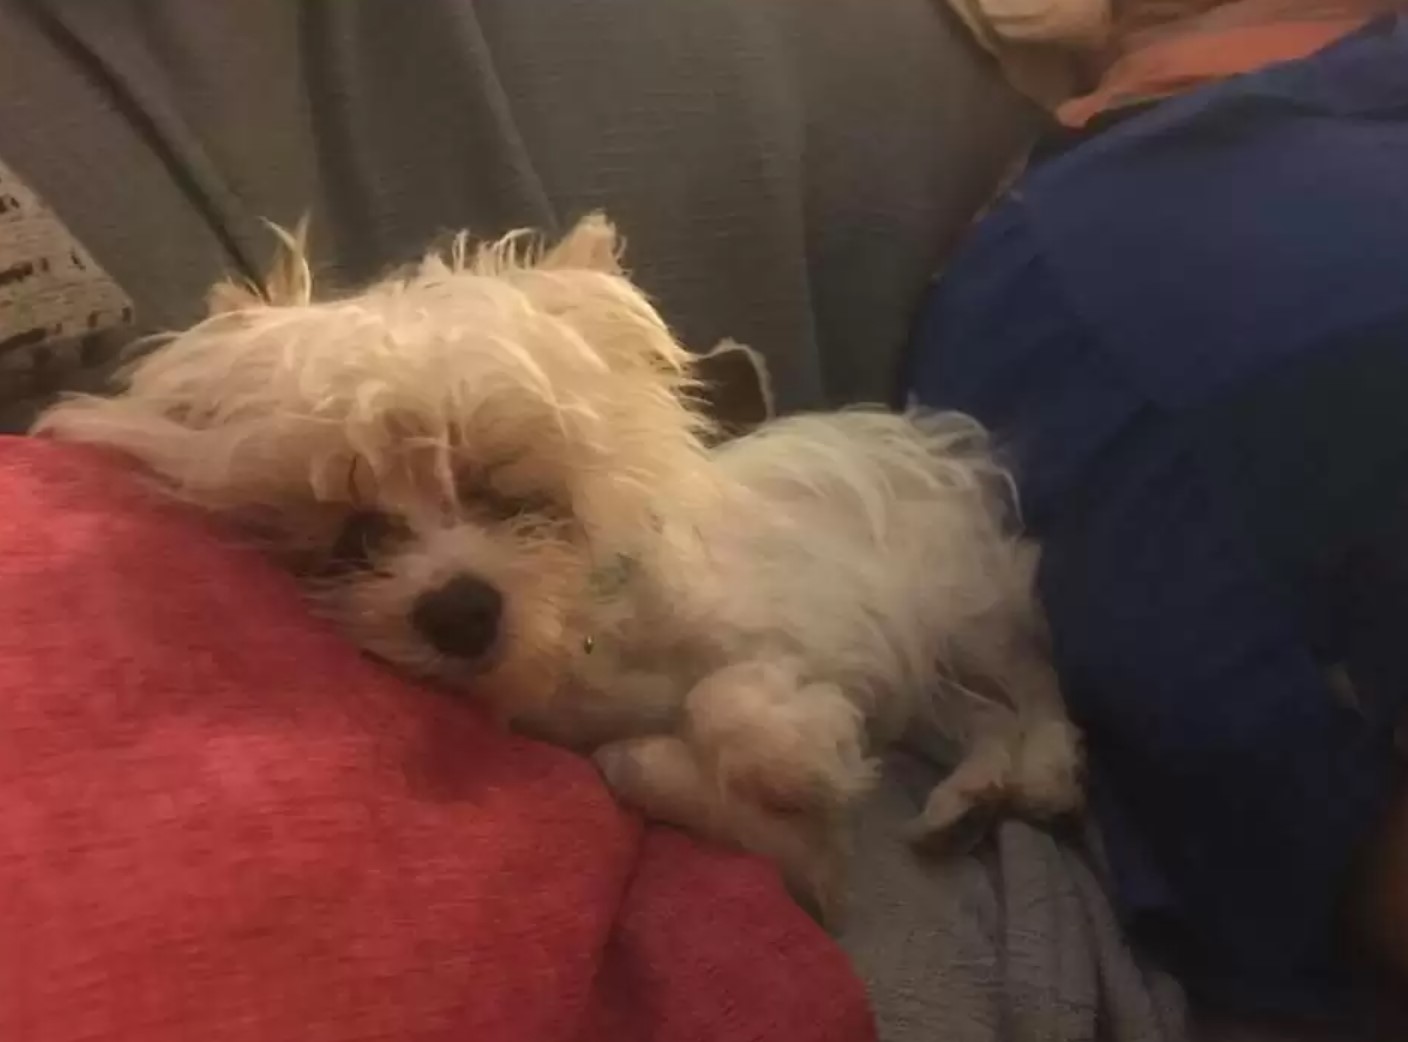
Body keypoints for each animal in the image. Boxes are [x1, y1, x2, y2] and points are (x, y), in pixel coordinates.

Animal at [38, 218, 1081, 912]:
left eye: (511, 490)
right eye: (355, 536)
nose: (458, 612)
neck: (587, 648)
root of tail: (931, 440)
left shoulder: (803, 619)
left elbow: (728, 701)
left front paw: (792, 748)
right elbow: (646, 771)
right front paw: (785, 785)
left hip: (970, 608)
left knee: (1033, 678)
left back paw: (1049, 769)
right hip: (936, 677)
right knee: (981, 717)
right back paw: (969, 797)